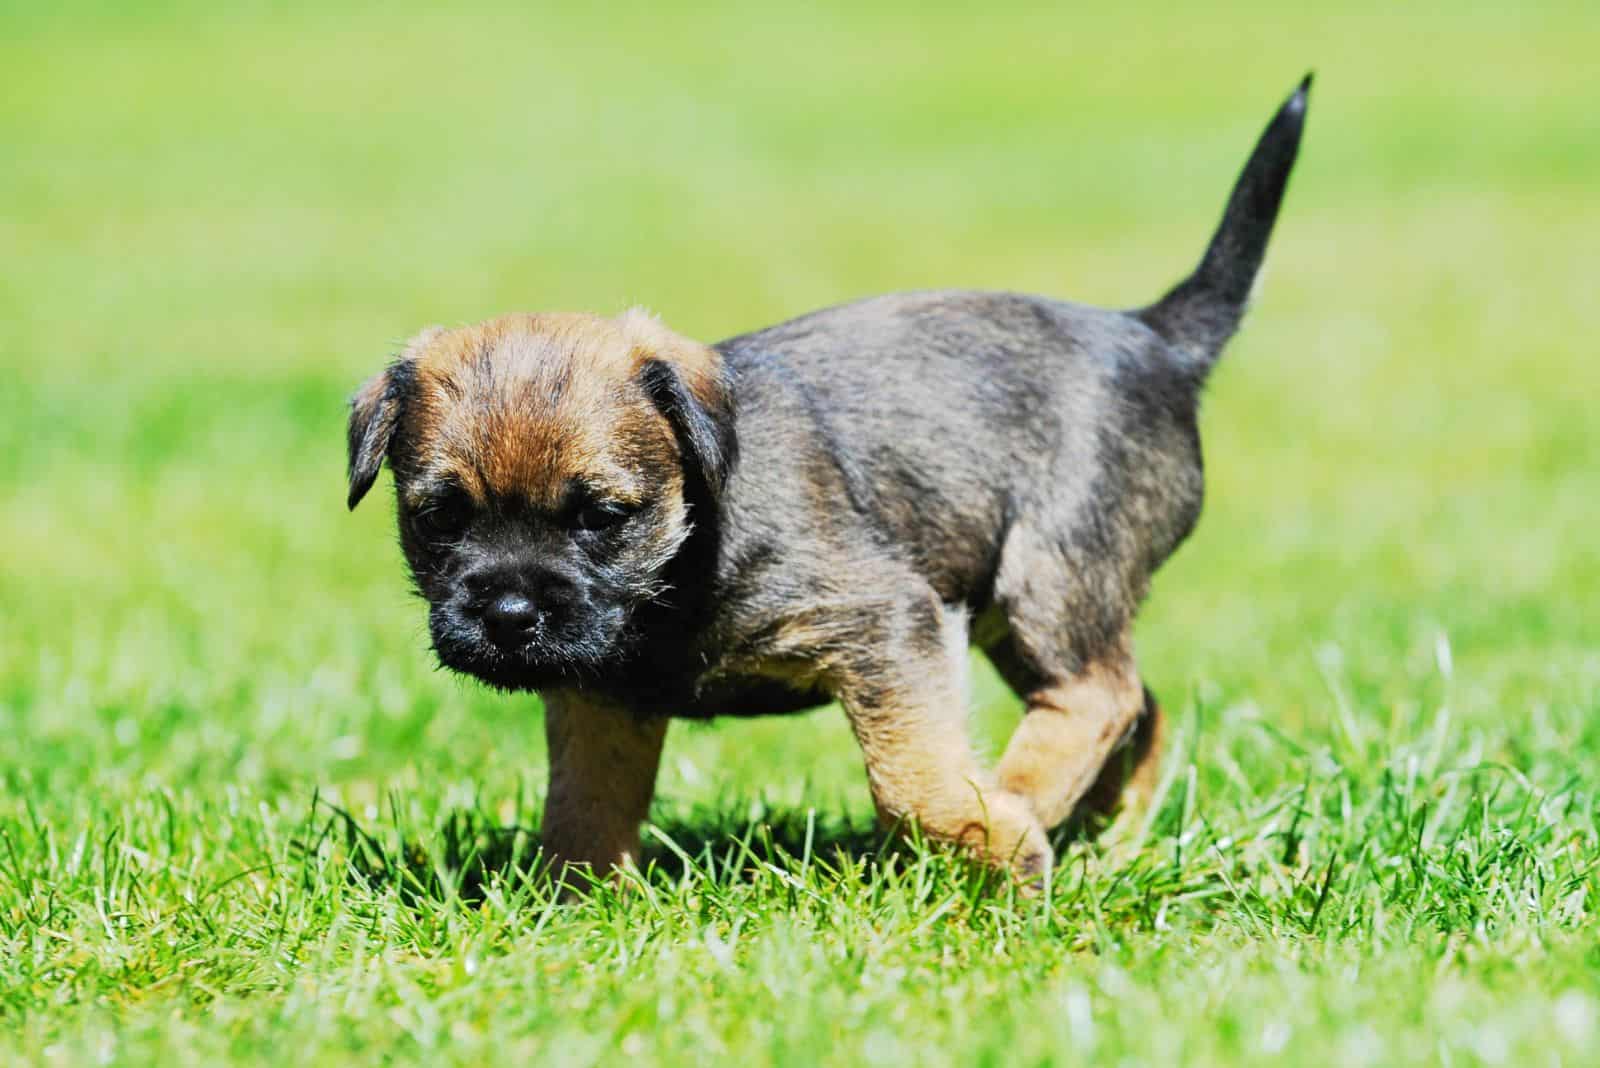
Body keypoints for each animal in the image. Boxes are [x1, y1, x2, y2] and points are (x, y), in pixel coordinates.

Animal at [350, 79, 1312, 882]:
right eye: (439, 519)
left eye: (600, 516)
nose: (509, 615)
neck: (691, 547)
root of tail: (1152, 336)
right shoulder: (601, 697)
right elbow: (586, 808)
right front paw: (573, 902)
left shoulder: (886, 623)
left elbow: (911, 773)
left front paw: (986, 840)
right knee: (1138, 708)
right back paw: (1107, 838)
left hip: (1052, 569)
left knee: (1098, 695)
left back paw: (1024, 803)